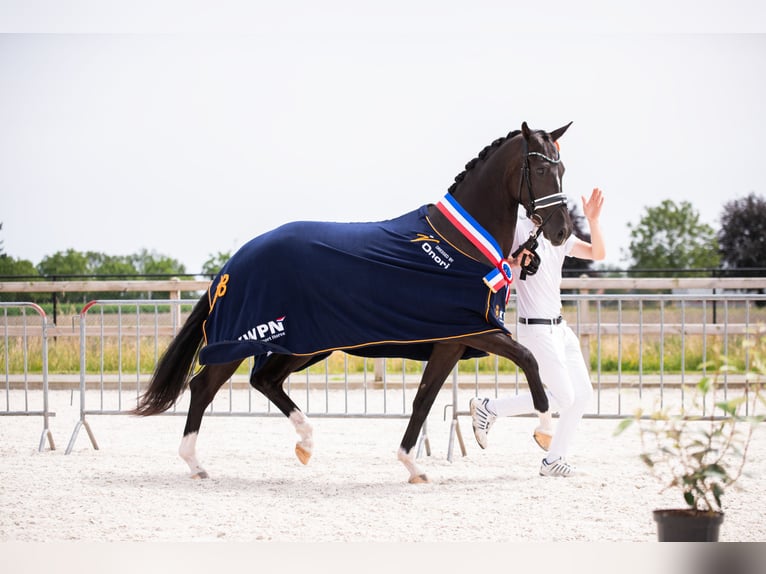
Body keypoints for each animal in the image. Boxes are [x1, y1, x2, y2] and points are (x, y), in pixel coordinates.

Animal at [135, 122, 572, 486]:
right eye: (538, 169)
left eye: (562, 168)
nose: (562, 230)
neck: (459, 246)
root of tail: (231, 265)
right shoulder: (474, 331)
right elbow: (528, 362)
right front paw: (544, 430)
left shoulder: (452, 342)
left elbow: (424, 399)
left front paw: (414, 465)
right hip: (248, 339)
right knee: (205, 385)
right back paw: (195, 462)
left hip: (304, 344)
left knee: (264, 380)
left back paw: (305, 442)